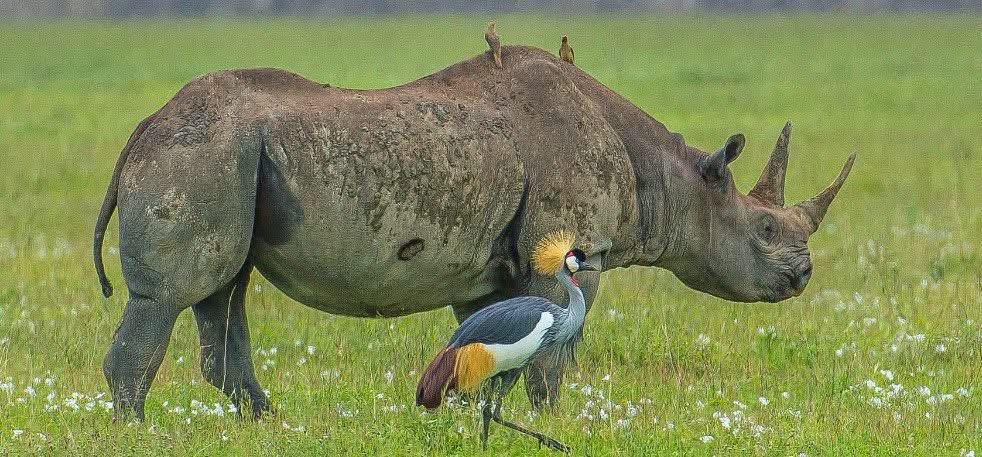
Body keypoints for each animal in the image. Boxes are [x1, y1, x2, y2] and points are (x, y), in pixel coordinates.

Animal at [93, 35, 854, 421]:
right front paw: (551, 423)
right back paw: (137, 430)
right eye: (763, 230)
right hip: (201, 152)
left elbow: (489, 349)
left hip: (222, 159)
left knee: (222, 292)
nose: (801, 275)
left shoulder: (491, 268)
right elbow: (551, 357)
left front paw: (480, 416)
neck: (671, 177)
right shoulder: (569, 254)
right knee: (170, 297)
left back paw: (269, 424)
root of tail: (142, 129)